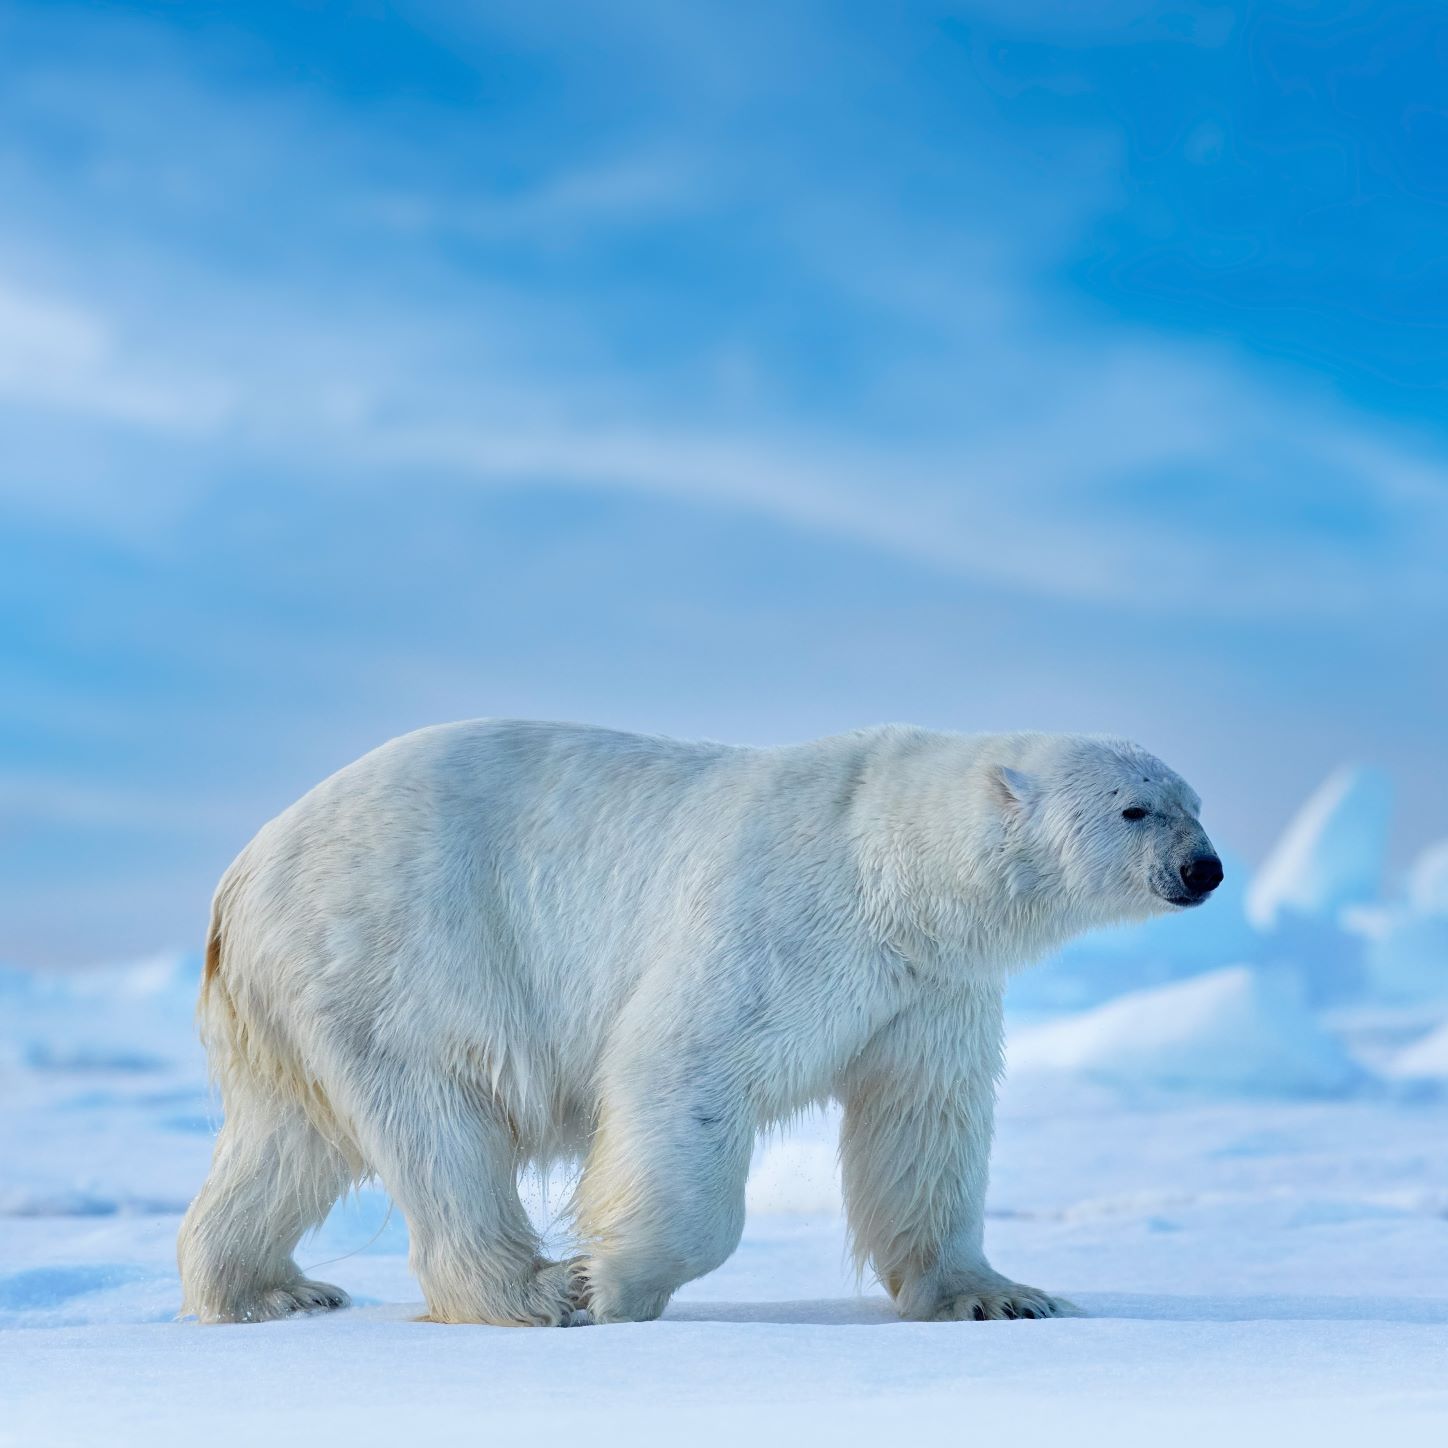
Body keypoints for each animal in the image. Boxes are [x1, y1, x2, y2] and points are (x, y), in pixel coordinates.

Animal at [178, 719, 1221, 1326]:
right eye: (1136, 809)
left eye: (1194, 802)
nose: (1203, 869)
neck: (887, 863)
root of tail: (240, 875)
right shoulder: (780, 920)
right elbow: (683, 1067)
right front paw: (614, 1283)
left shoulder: (925, 988)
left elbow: (922, 1123)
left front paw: (998, 1296)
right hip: (394, 952)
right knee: (441, 1126)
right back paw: (535, 1291)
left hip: (295, 1000)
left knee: (287, 1141)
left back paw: (270, 1290)